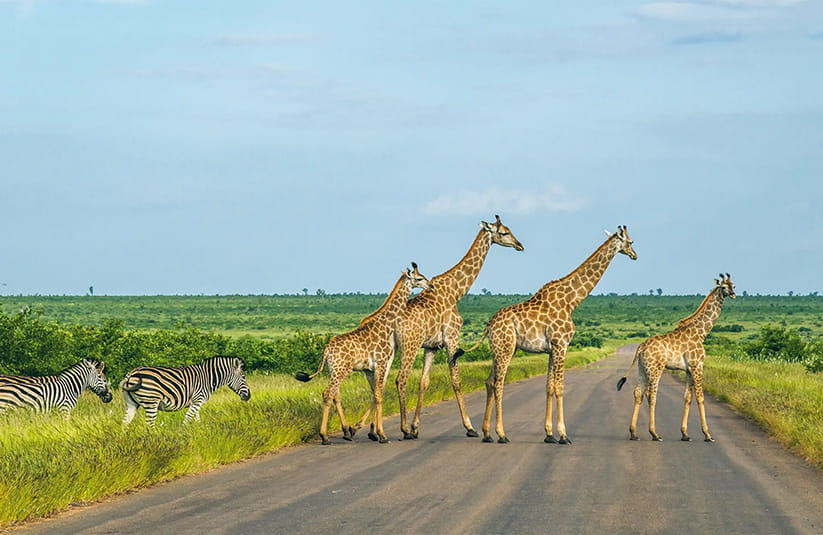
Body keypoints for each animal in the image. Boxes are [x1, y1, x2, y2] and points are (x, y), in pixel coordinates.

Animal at [295, 263, 431, 445]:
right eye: (419, 278)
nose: (430, 286)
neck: (386, 326)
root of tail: (327, 350)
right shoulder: (382, 363)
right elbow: (379, 395)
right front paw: (382, 435)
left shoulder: (370, 369)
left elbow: (376, 395)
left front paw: (374, 432)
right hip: (341, 370)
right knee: (327, 393)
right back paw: (325, 437)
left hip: (333, 370)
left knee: (334, 395)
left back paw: (345, 432)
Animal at [395, 215, 524, 440]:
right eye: (504, 232)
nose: (520, 245)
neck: (456, 291)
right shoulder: (452, 337)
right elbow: (456, 380)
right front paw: (470, 427)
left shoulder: (431, 346)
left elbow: (423, 382)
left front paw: (416, 426)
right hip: (409, 347)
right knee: (400, 379)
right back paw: (402, 430)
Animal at [456, 225, 637, 444]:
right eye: (630, 242)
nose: (635, 255)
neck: (571, 301)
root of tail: (489, 325)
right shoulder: (561, 345)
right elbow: (560, 387)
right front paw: (563, 435)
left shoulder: (552, 349)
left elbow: (549, 387)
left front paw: (549, 434)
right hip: (505, 349)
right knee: (498, 383)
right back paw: (502, 434)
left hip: (500, 349)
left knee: (490, 381)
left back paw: (487, 433)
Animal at [617, 273, 736, 442]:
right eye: (724, 287)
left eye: (734, 285)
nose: (733, 294)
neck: (701, 333)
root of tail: (640, 347)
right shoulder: (697, 366)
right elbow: (700, 397)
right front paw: (707, 434)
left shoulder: (689, 370)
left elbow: (687, 397)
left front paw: (685, 434)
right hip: (655, 369)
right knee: (651, 395)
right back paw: (654, 434)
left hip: (642, 369)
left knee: (638, 392)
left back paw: (634, 433)